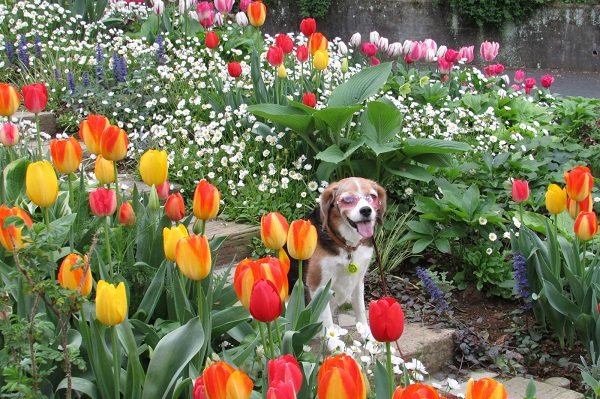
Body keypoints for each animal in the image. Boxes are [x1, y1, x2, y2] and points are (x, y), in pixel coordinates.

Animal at [290, 177, 384, 328]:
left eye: (372, 197)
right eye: (348, 199)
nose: (366, 210)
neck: (347, 246)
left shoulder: (358, 279)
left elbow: (361, 313)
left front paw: (367, 334)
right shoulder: (319, 286)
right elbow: (327, 322)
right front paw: (331, 335)